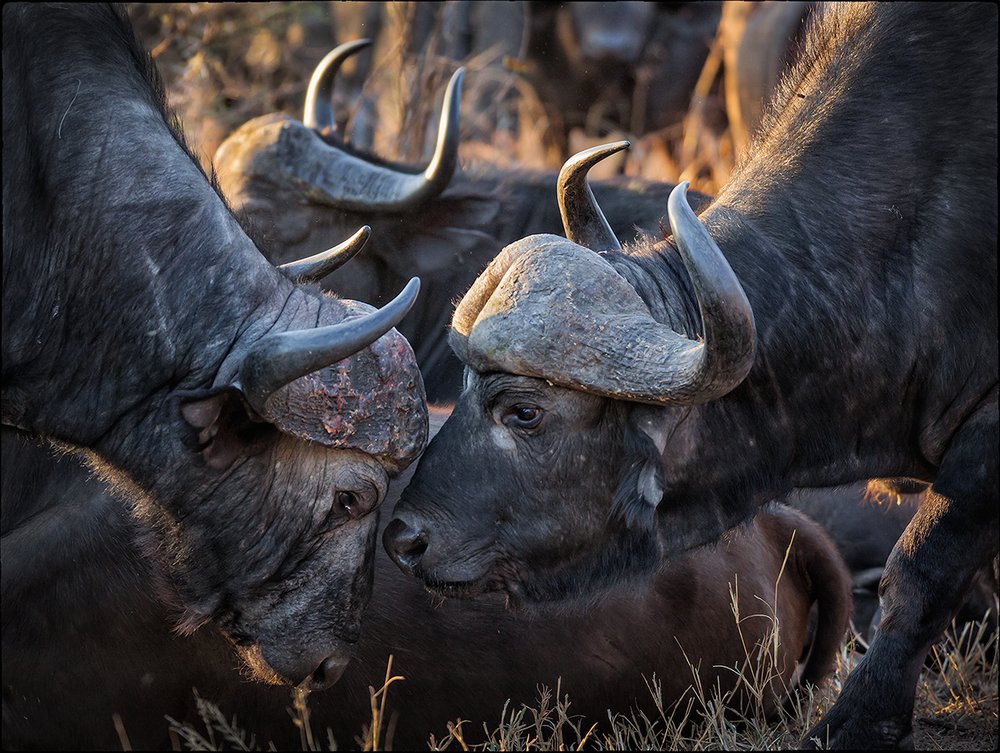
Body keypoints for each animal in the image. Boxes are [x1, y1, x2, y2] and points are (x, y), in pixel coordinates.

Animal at [387, 4, 997, 748]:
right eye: (465, 386)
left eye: (524, 411)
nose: (404, 538)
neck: (906, 227)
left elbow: (919, 572)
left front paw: (858, 720)